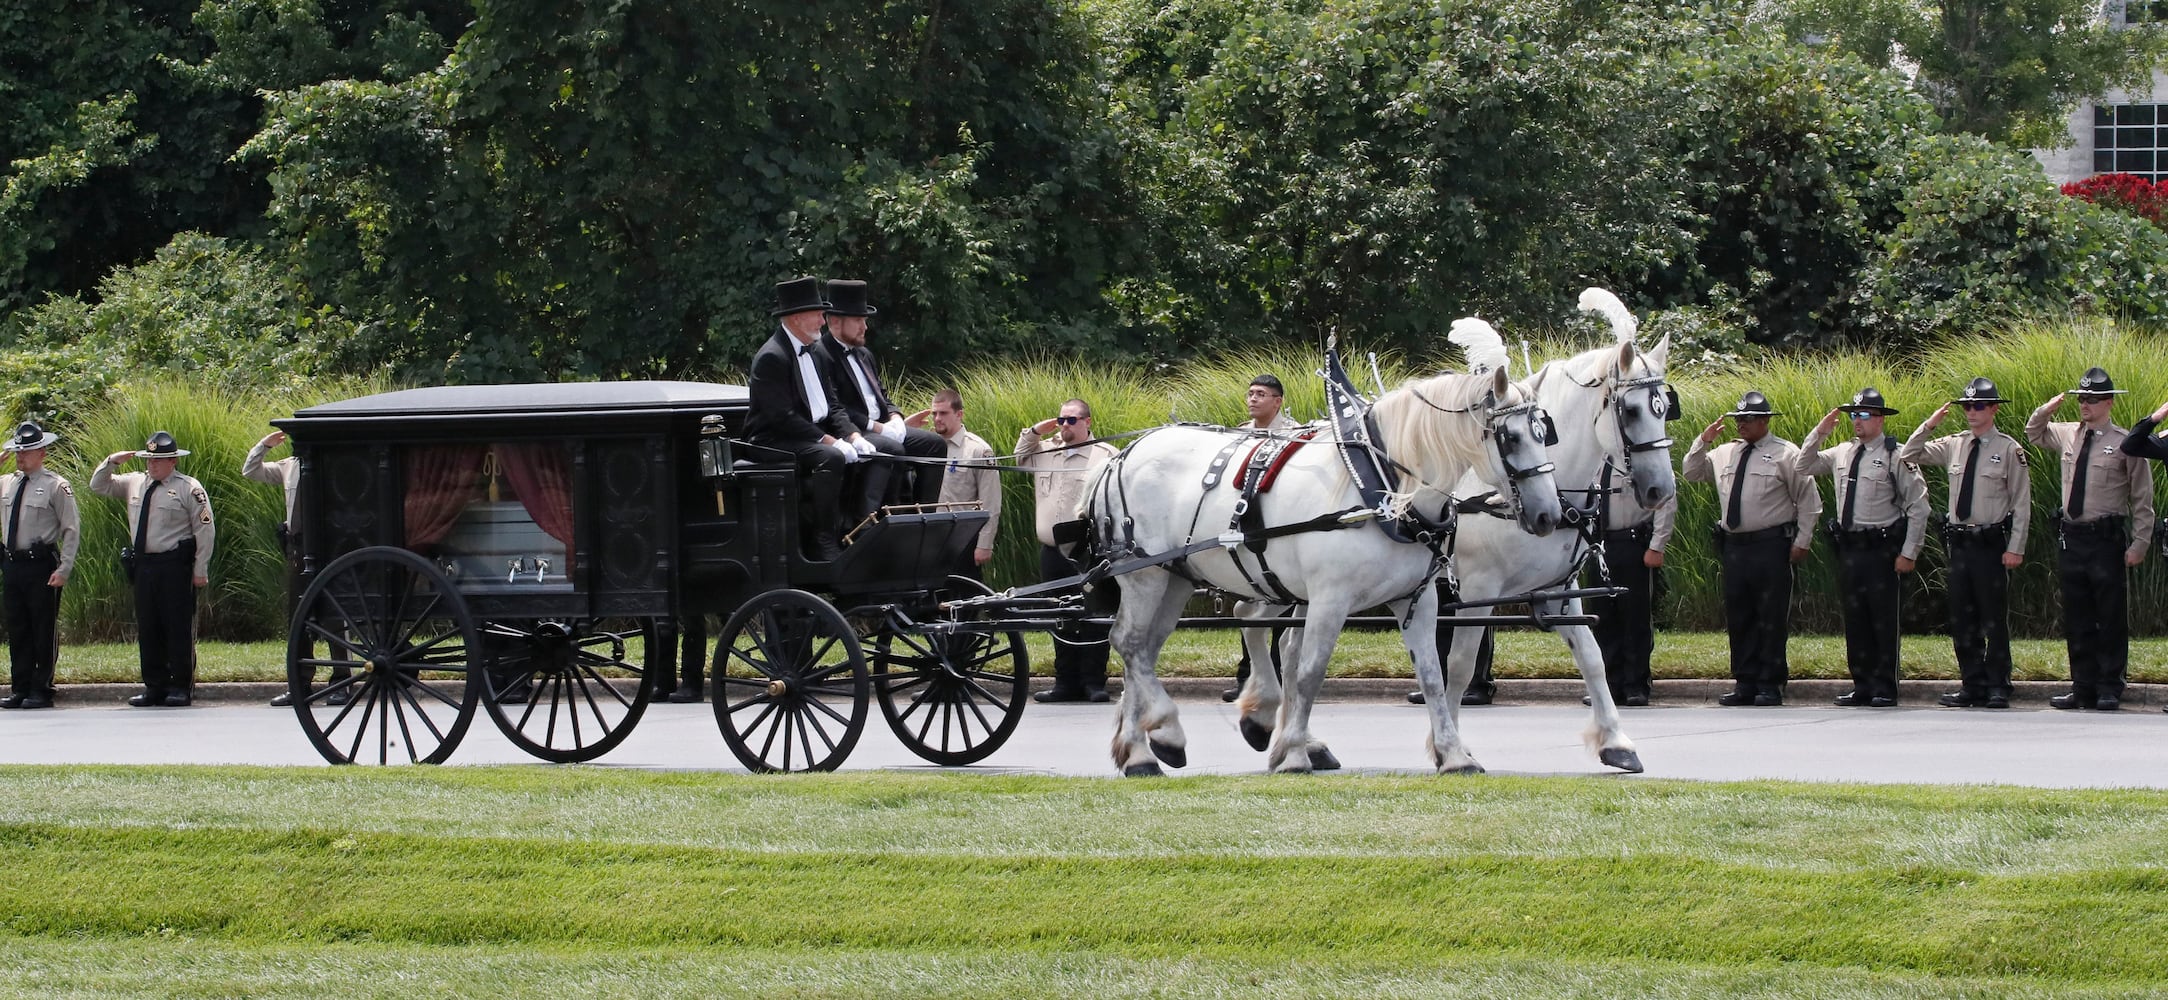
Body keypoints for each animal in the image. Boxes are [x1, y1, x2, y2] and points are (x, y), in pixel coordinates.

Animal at [1092, 347, 1569, 776]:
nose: (1549, 515)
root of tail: (1125, 453)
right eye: (1510, 437)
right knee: (1130, 643)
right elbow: (1309, 673)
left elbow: (1431, 674)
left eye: (1545, 433)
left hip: (1177, 577)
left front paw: (1453, 755)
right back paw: (1160, 737)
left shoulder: (1416, 598)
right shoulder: (1328, 598)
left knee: (1148, 648)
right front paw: (1294, 755)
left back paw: (1141, 746)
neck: (1384, 486)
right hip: (1145, 574)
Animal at [1430, 288, 1682, 772]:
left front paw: (1616, 741)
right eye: (1631, 409)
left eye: (1665, 409)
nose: (1661, 489)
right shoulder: (1476, 589)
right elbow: (1460, 663)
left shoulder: (1558, 590)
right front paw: (1450, 748)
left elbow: (1592, 657)